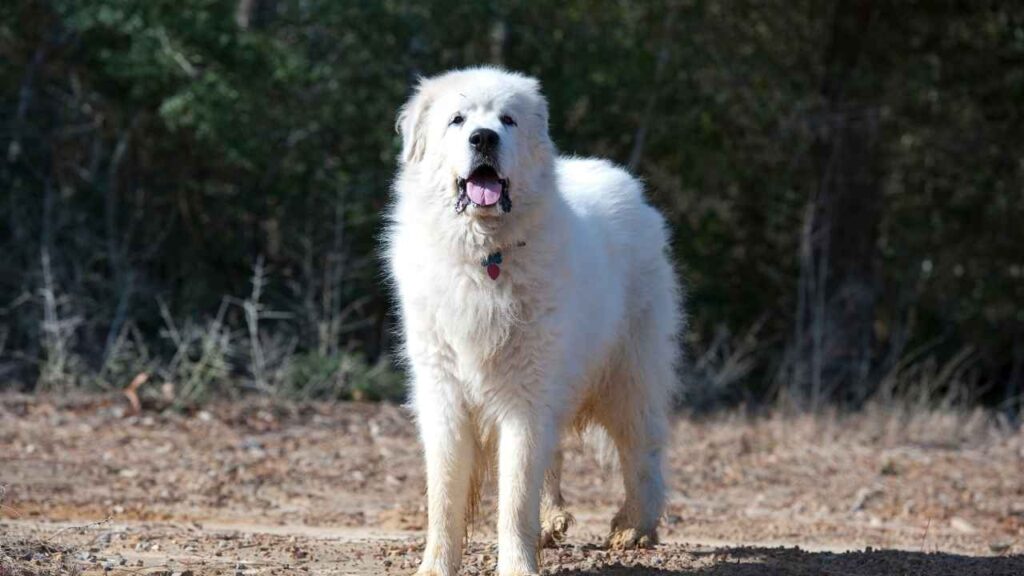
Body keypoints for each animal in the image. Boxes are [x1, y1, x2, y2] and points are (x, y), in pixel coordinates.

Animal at [385, 68, 679, 573]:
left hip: (627, 375)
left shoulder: (525, 395)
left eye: (508, 120)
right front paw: (436, 565)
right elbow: (444, 493)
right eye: (458, 120)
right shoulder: (444, 392)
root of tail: (626, 183)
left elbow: (515, 493)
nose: (484, 137)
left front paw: (518, 564)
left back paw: (634, 526)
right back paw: (552, 522)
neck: (486, 255)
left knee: (642, 451)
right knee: (556, 451)